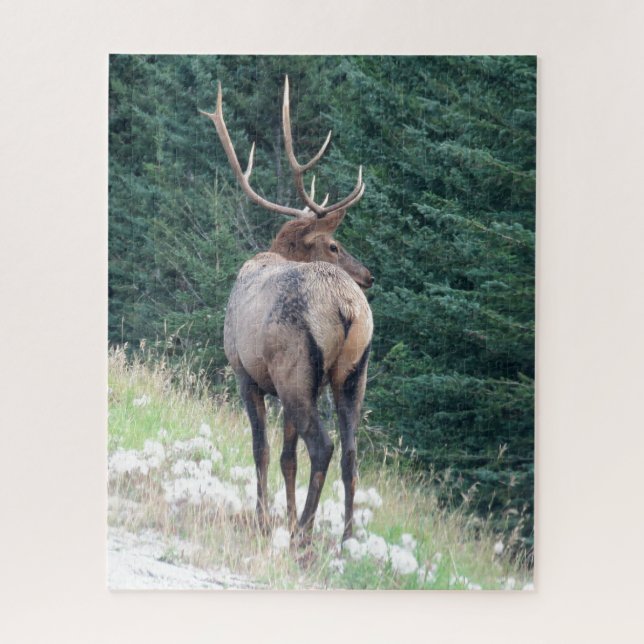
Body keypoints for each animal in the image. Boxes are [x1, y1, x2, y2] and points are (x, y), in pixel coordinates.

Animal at [200, 76, 373, 548]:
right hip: (352, 375)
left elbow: (261, 450)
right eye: (334, 245)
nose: (369, 274)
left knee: (324, 446)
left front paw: (265, 520)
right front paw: (285, 516)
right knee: (350, 452)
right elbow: (286, 457)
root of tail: (348, 308)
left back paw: (304, 536)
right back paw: (345, 537)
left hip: (294, 368)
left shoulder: (245, 372)